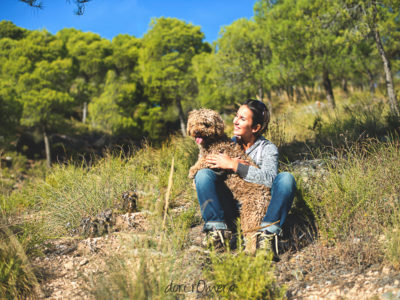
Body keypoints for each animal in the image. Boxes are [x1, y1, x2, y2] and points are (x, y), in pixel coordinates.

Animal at [188, 108, 272, 253]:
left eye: (206, 124)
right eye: (194, 123)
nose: (197, 131)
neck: (213, 141)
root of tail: (267, 195)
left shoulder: (214, 157)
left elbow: (201, 163)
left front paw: (192, 171)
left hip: (251, 213)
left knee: (252, 235)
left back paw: (249, 251)